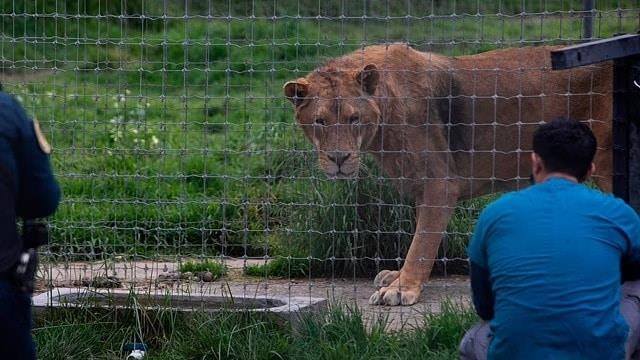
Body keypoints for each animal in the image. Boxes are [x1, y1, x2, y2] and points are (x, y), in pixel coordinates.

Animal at [282, 43, 612, 306]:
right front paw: (397, 277)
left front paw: (402, 289)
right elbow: (421, 236)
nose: (339, 158)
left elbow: (422, 241)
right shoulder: (420, 186)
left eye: (354, 119)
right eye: (320, 122)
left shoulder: (440, 183)